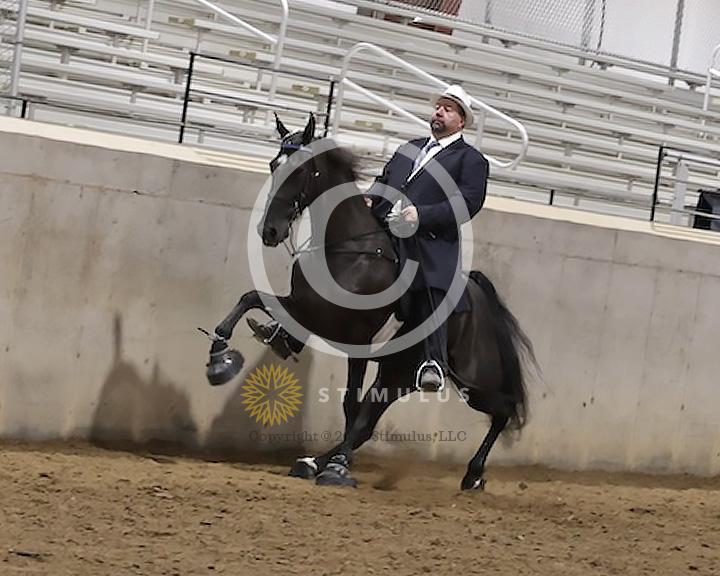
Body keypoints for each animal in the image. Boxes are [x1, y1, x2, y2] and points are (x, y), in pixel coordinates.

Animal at [204, 114, 536, 490]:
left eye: (301, 171)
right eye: (274, 164)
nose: (270, 232)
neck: (350, 249)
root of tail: (478, 298)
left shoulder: (355, 339)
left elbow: (350, 404)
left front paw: (338, 471)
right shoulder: (306, 308)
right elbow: (250, 298)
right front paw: (220, 360)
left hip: (473, 378)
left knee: (503, 409)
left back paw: (473, 474)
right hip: (400, 371)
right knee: (370, 418)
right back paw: (314, 461)